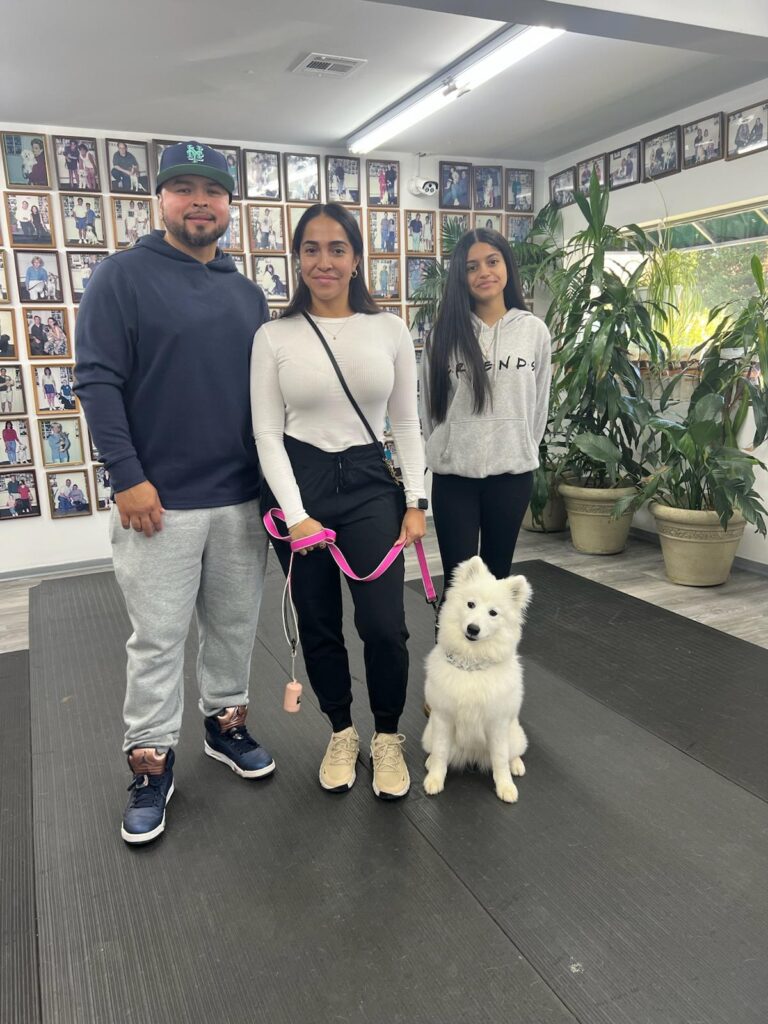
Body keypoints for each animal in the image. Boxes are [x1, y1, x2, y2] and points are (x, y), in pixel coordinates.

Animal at [423, 557, 532, 802]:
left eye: (493, 613)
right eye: (470, 604)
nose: (473, 629)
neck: (471, 664)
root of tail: (472, 756)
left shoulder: (497, 724)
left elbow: (500, 760)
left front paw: (506, 787)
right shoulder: (443, 718)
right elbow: (441, 753)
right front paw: (435, 779)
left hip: (515, 734)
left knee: (512, 753)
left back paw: (516, 765)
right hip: (429, 733)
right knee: (436, 751)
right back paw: (430, 761)